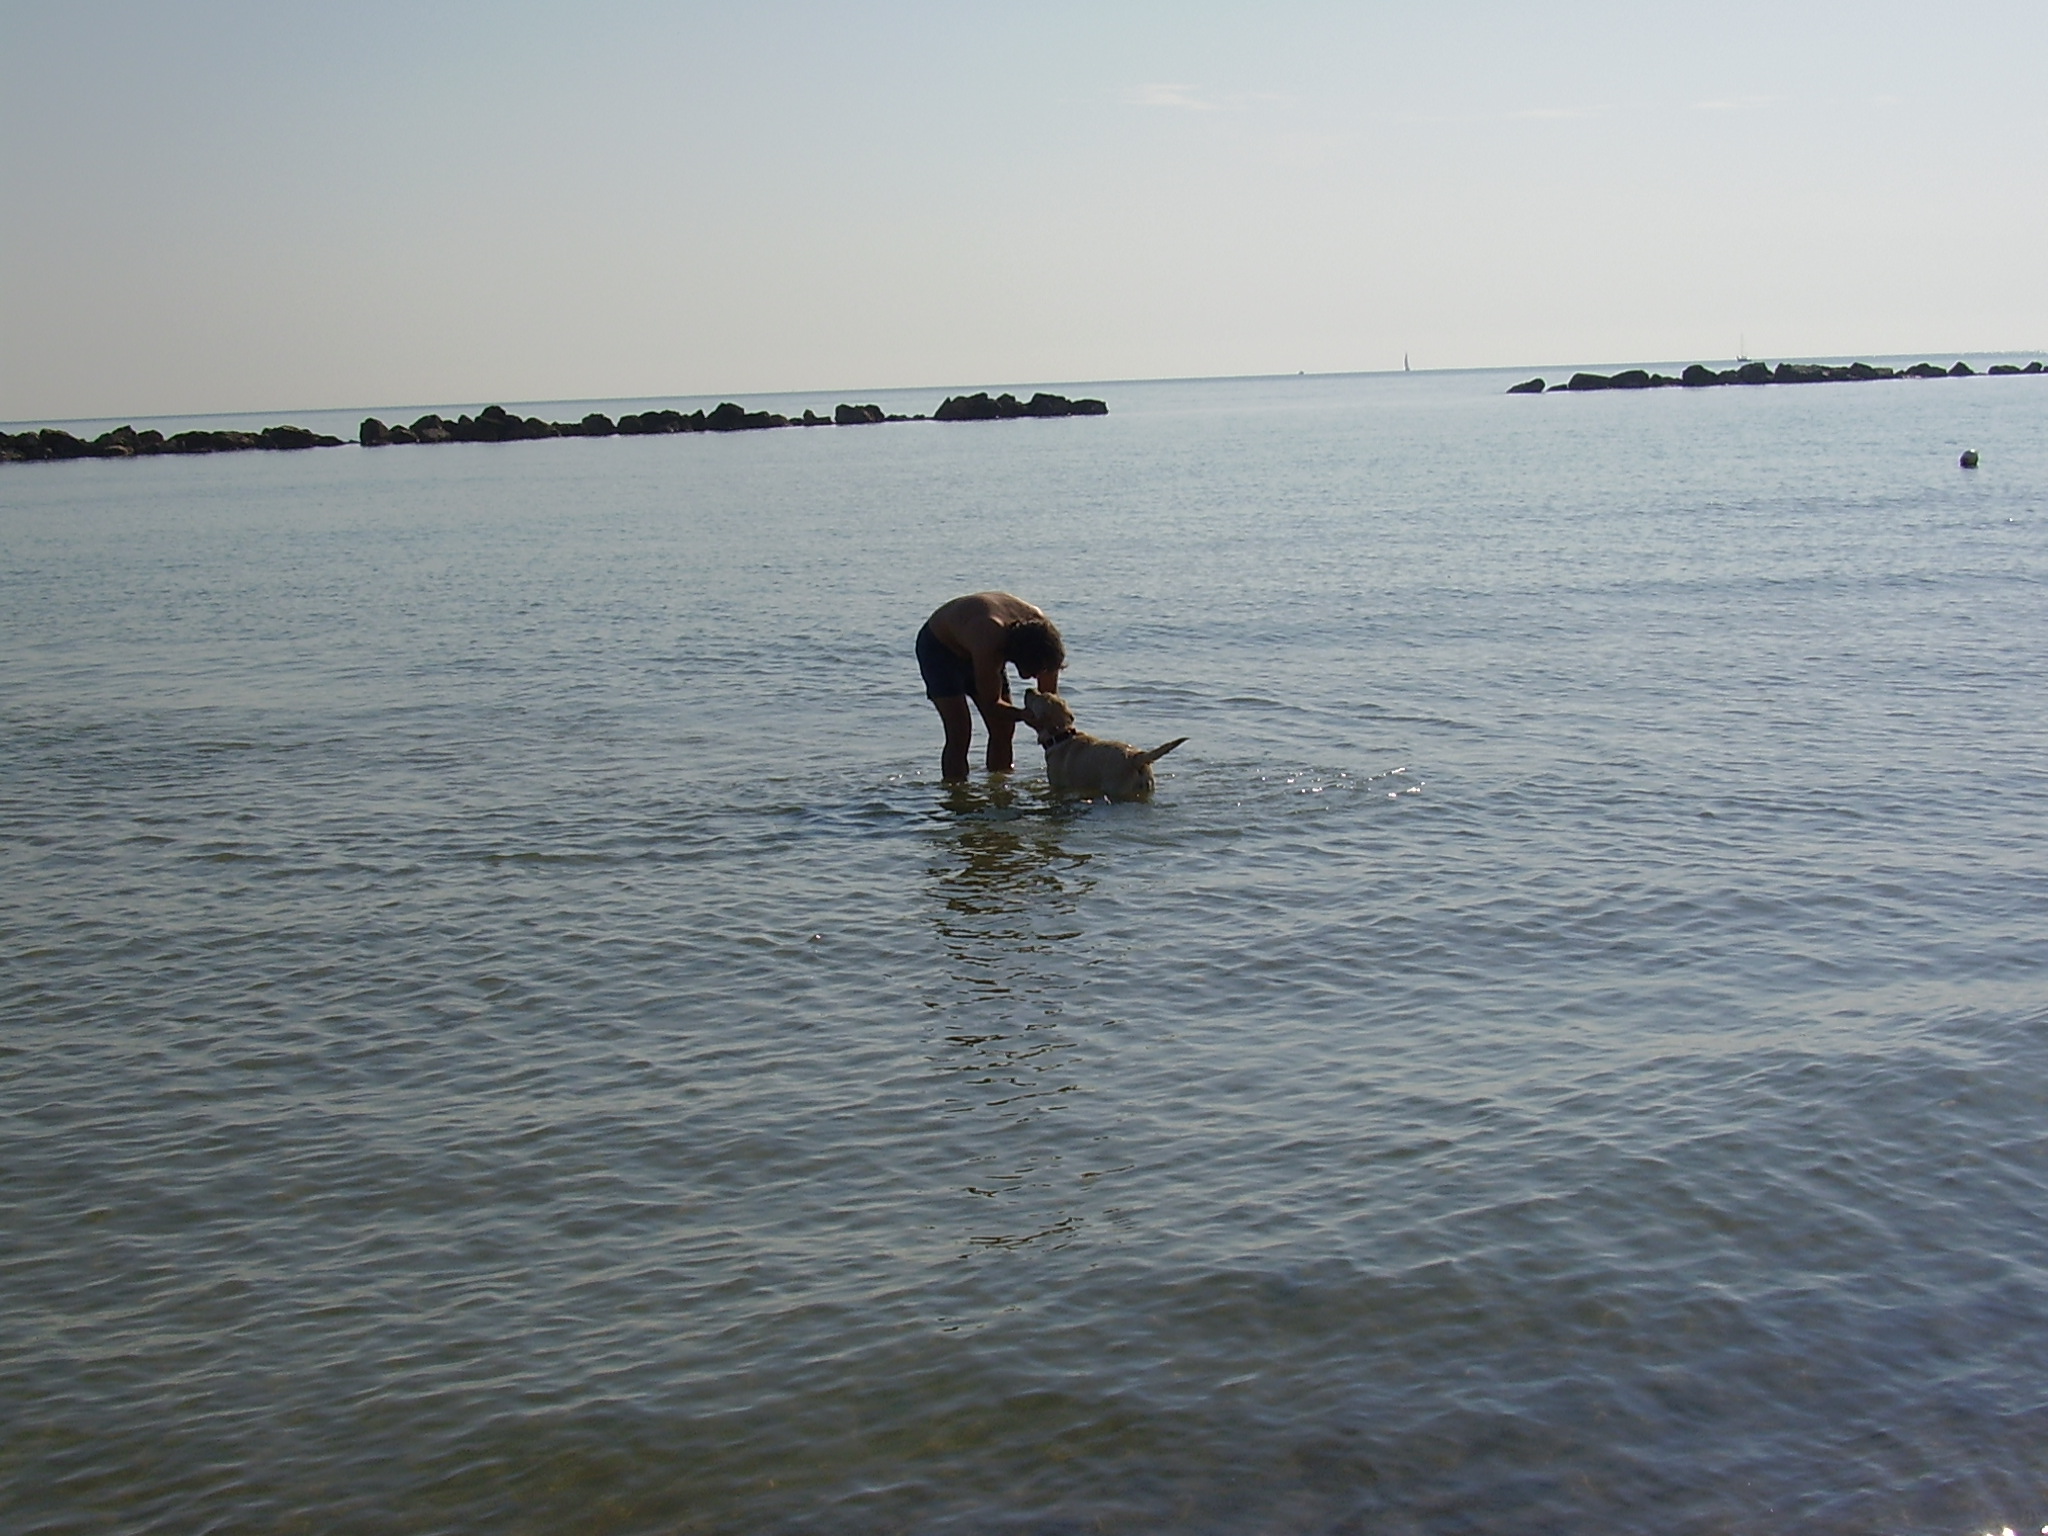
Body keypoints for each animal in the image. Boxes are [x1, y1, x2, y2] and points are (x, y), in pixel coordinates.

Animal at [1019, 688, 1187, 798]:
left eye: (1040, 697)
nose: (1028, 689)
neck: (1062, 735)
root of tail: (1136, 757)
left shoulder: (1057, 785)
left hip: (1116, 787)